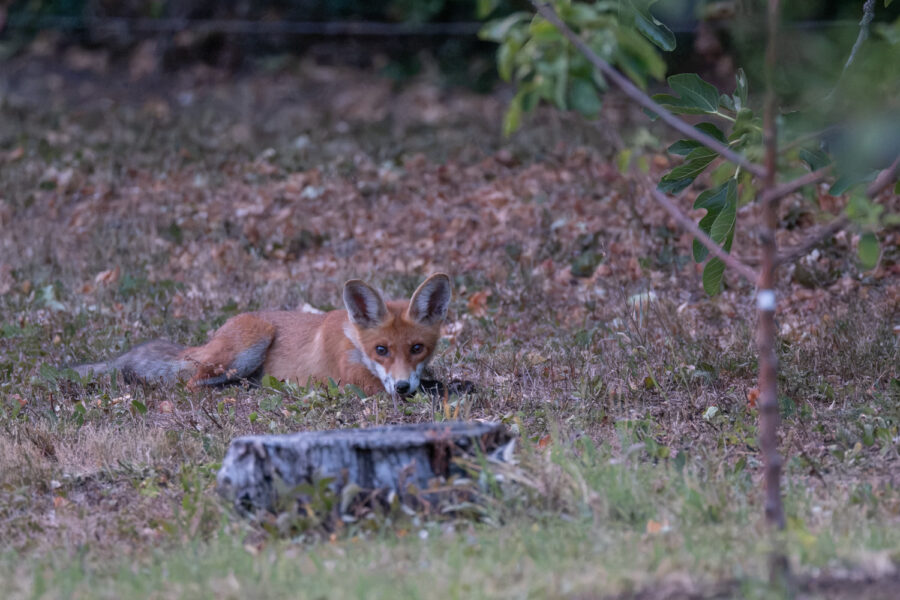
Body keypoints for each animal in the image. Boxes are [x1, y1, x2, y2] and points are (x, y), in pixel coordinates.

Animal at [72, 273, 452, 404]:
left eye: (417, 348)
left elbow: (439, 383)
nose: (401, 387)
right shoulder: (355, 383)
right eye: (381, 349)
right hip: (248, 345)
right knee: (192, 384)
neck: (353, 342)